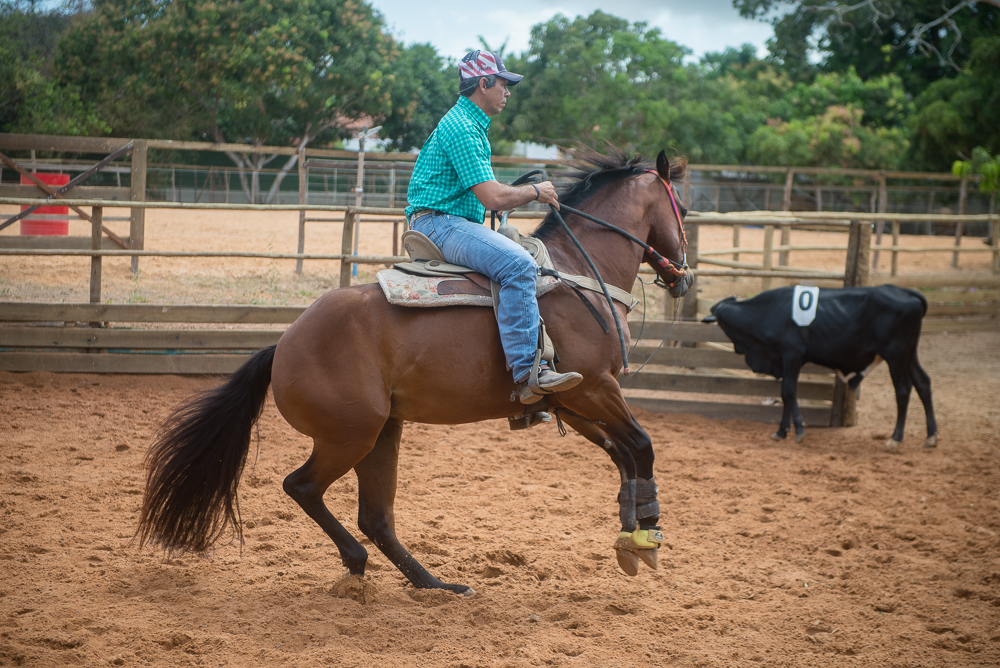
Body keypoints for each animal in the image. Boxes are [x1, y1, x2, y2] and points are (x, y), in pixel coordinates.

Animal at [139, 147, 688, 596]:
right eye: (681, 208)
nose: (682, 272)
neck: (577, 272)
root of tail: (284, 344)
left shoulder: (572, 401)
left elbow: (622, 452)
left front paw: (629, 533)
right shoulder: (593, 387)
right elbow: (641, 446)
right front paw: (647, 532)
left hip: (384, 431)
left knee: (375, 517)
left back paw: (436, 584)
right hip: (350, 435)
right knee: (304, 488)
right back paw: (361, 563)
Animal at [704, 284, 936, 452]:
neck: (766, 313)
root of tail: (906, 291)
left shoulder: (792, 354)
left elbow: (788, 391)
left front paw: (798, 430)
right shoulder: (787, 359)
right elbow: (786, 393)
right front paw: (781, 431)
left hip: (896, 354)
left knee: (903, 390)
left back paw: (895, 439)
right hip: (909, 353)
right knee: (923, 383)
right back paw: (931, 436)